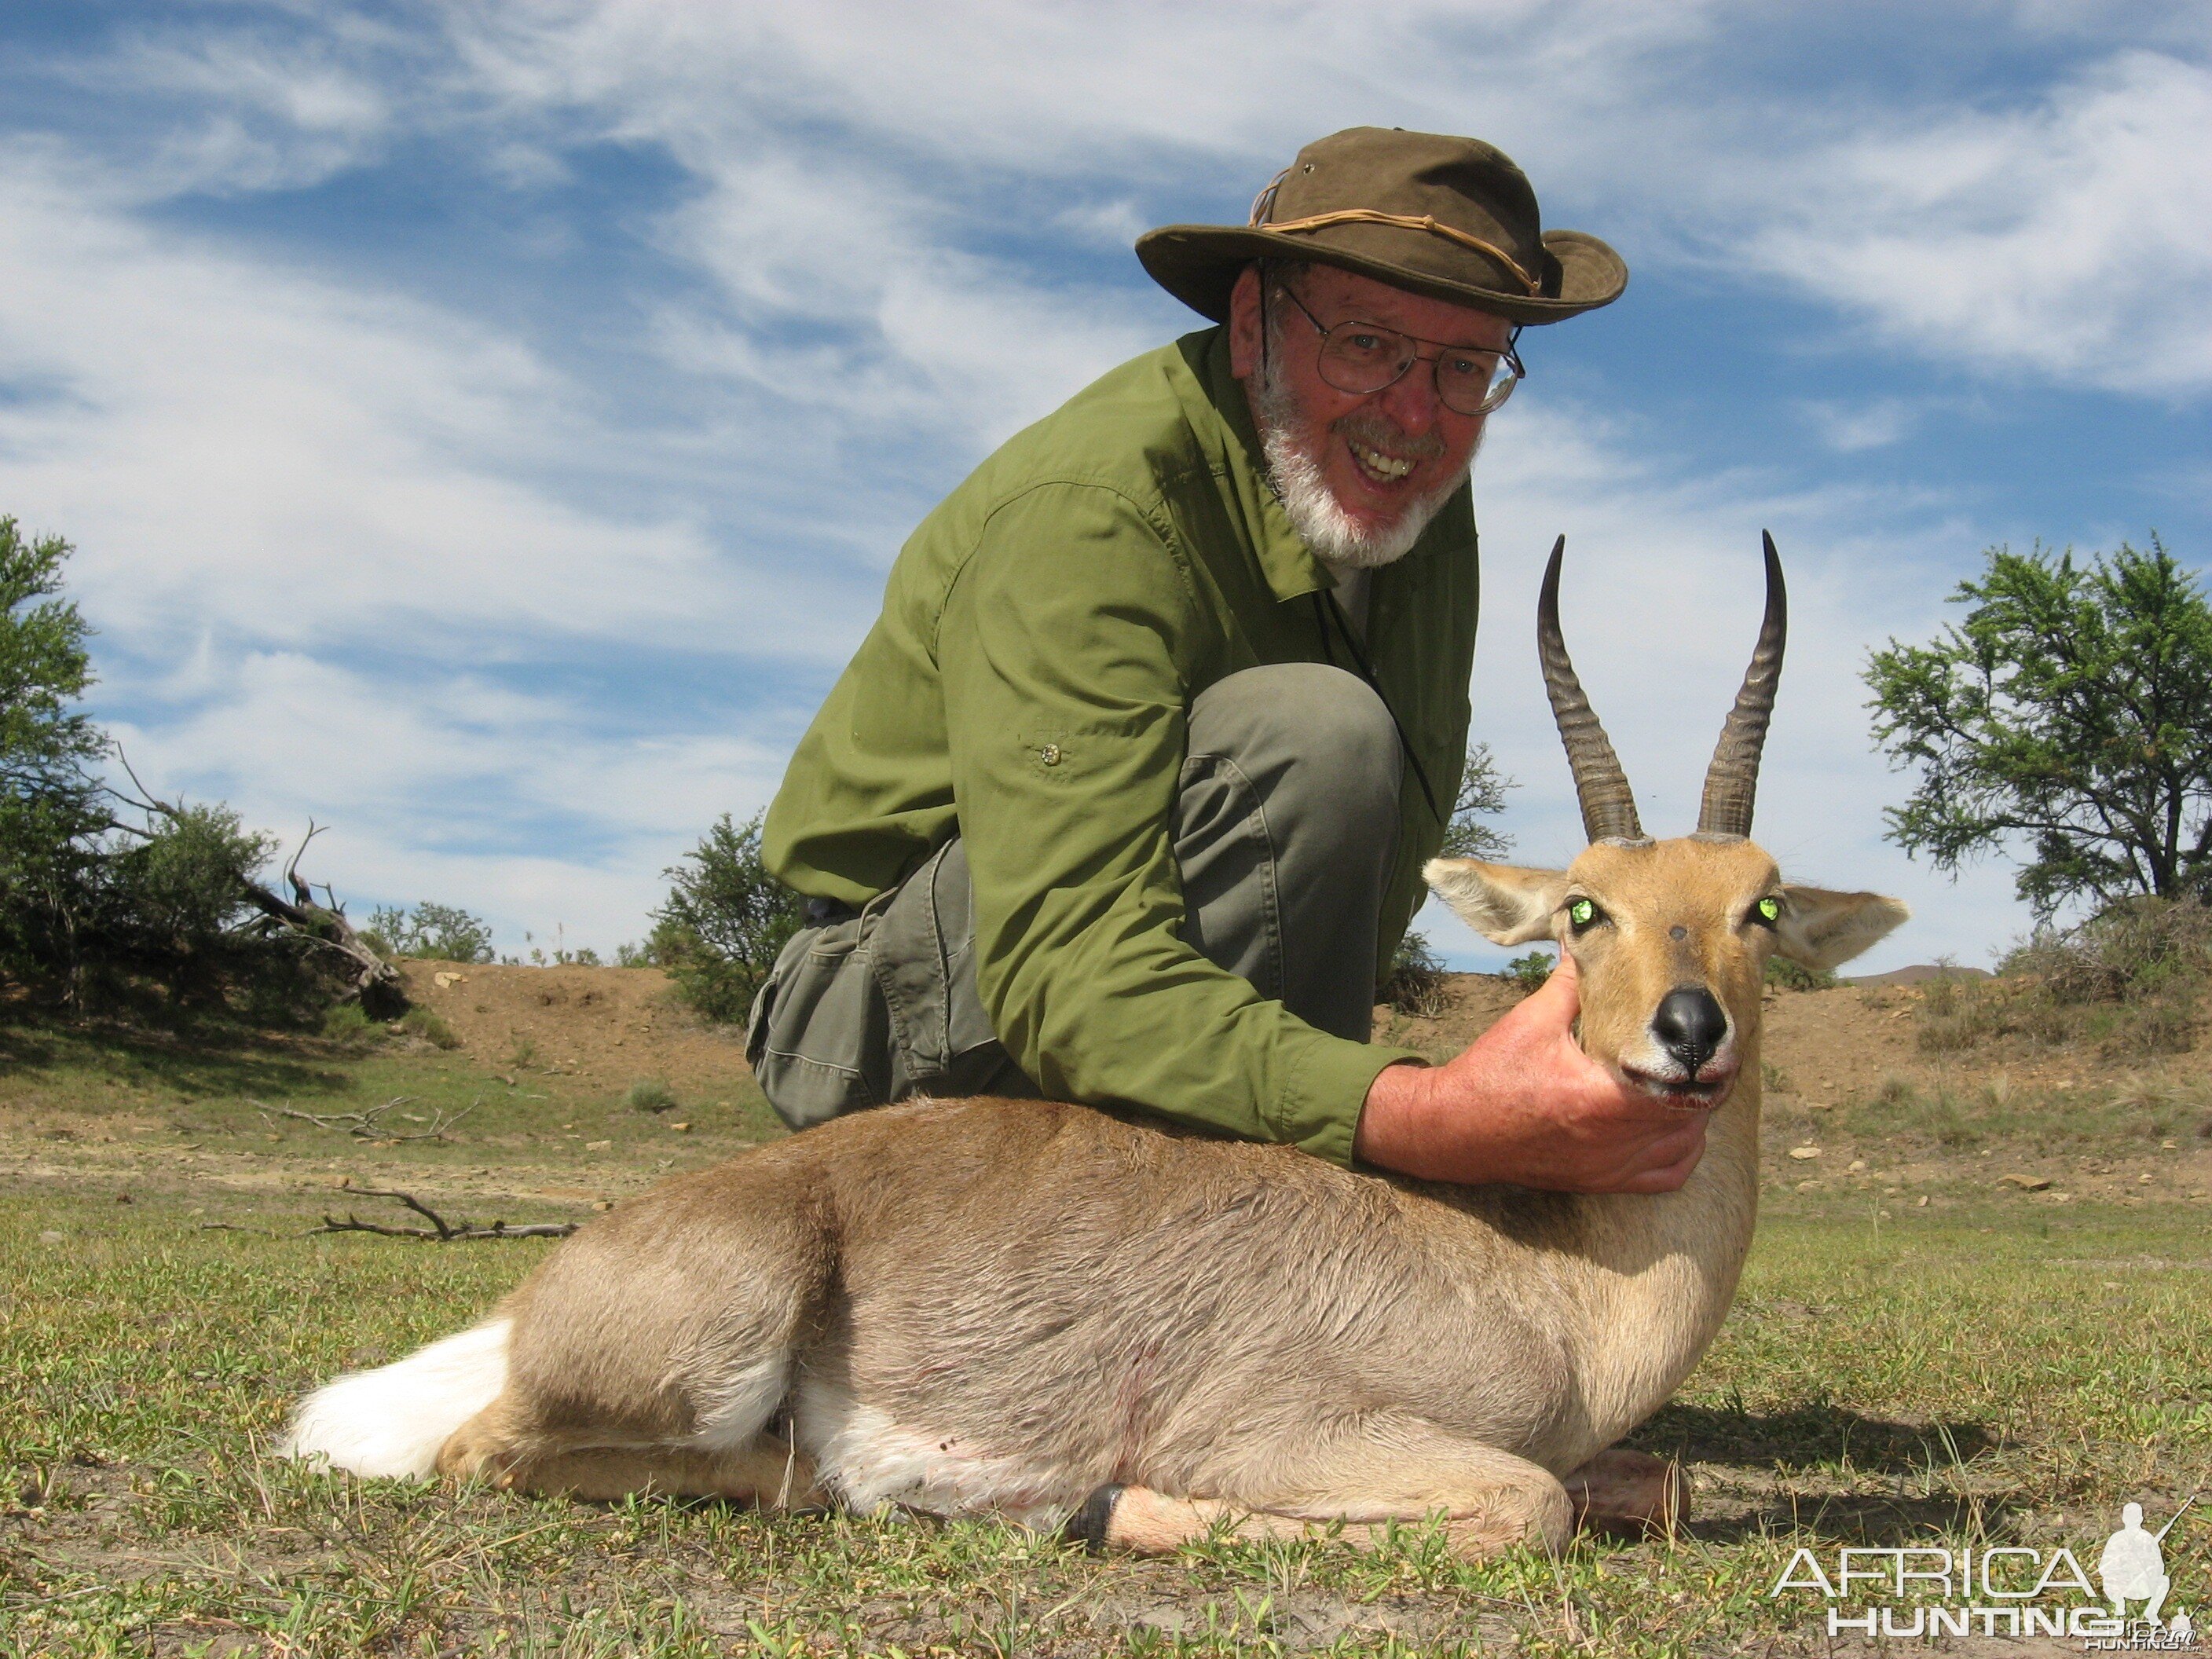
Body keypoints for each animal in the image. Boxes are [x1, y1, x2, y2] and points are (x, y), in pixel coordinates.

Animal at [285, 540, 1902, 1566]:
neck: (1553, 1284)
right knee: (499, 1456)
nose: (1687, 1033)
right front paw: (1103, 1507)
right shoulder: (1285, 1431)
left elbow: (1654, 1485)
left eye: (1759, 904)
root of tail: (538, 1294)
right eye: (1582, 909)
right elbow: (1529, 1507)